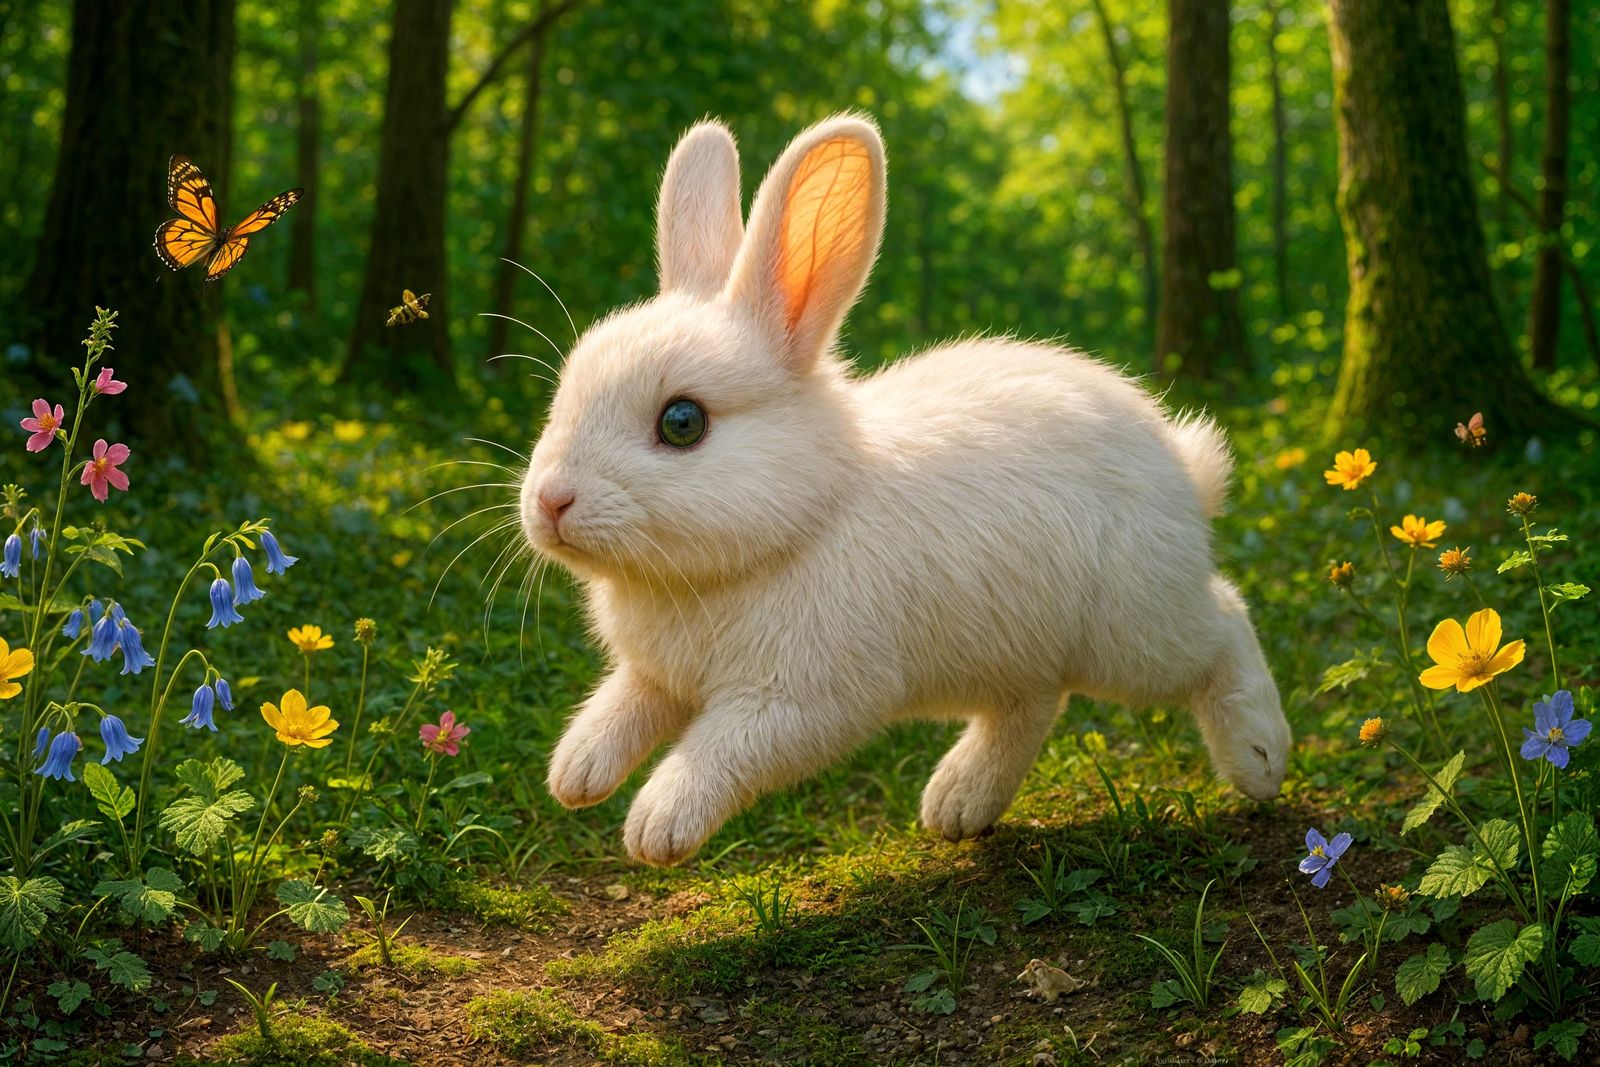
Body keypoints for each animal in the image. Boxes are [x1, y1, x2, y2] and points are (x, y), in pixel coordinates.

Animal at [519, 113, 1291, 867]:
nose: (551, 501)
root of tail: (1182, 470)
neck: (801, 520)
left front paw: (658, 824)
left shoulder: (796, 699)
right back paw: (958, 806)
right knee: (1033, 706)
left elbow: (722, 750)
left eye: (682, 422)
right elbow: (624, 704)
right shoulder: (656, 675)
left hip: (1138, 633)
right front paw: (575, 773)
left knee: (1225, 623)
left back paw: (1261, 762)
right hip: (1021, 647)